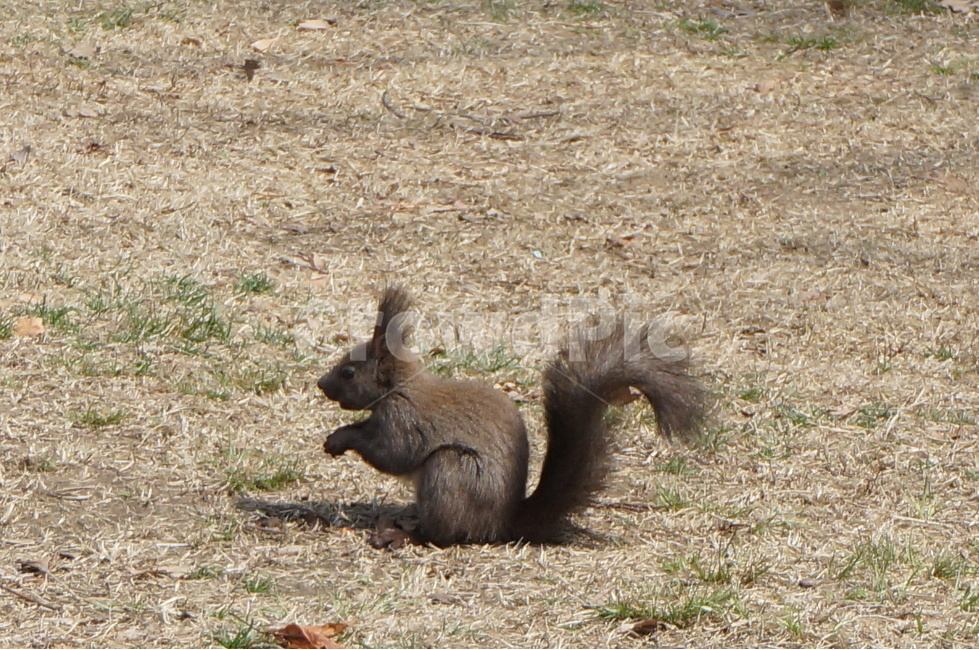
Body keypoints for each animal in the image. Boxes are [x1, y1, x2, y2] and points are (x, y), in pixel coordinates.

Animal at [317, 287, 705, 547]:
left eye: (349, 372)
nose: (321, 384)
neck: (399, 388)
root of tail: (505, 523)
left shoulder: (404, 420)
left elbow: (392, 454)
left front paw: (343, 438)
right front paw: (336, 436)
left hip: (451, 472)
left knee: (446, 533)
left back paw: (407, 534)